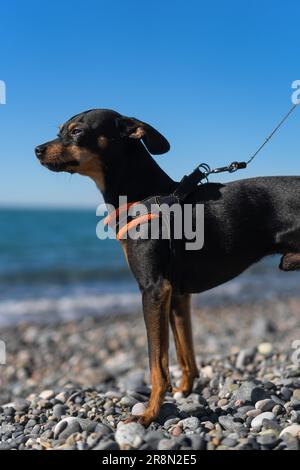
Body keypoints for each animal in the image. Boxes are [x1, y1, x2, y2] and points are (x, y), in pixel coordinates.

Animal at [35, 109, 300, 426]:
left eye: (76, 131)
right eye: (60, 130)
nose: (37, 150)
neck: (144, 195)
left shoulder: (154, 290)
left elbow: (157, 363)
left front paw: (150, 413)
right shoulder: (177, 295)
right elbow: (186, 355)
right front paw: (184, 391)